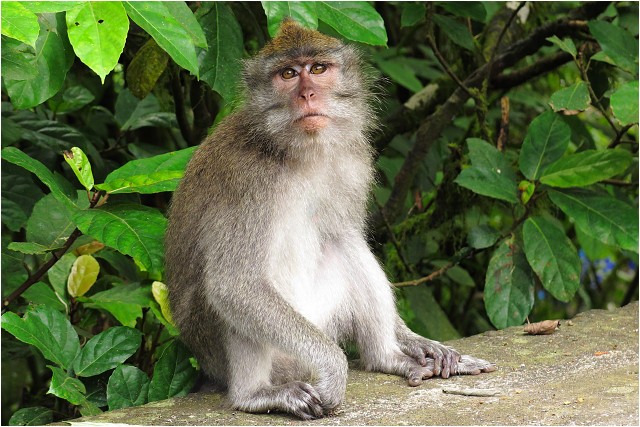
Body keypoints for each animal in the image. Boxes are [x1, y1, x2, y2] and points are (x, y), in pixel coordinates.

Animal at [165, 18, 496, 420]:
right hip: (250, 353)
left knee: (344, 243)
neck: (297, 153)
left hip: (321, 316)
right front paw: (334, 366)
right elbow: (234, 283)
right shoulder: (245, 181)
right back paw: (255, 394)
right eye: (288, 74)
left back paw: (387, 357)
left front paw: (414, 341)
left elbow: (344, 234)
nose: (307, 95)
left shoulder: (353, 161)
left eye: (319, 69)